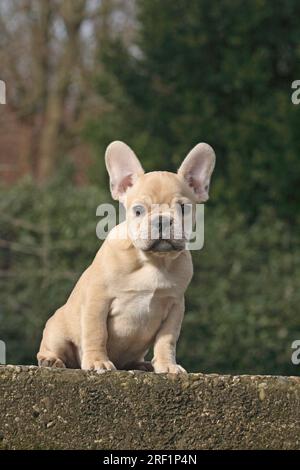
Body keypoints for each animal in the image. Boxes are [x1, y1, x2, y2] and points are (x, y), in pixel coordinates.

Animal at [37, 141, 216, 372]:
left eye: (183, 208)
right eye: (138, 211)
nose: (162, 220)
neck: (153, 261)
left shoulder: (175, 306)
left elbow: (166, 340)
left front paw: (167, 365)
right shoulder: (97, 300)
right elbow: (96, 333)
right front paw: (97, 361)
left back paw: (142, 364)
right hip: (57, 331)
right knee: (53, 347)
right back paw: (50, 360)